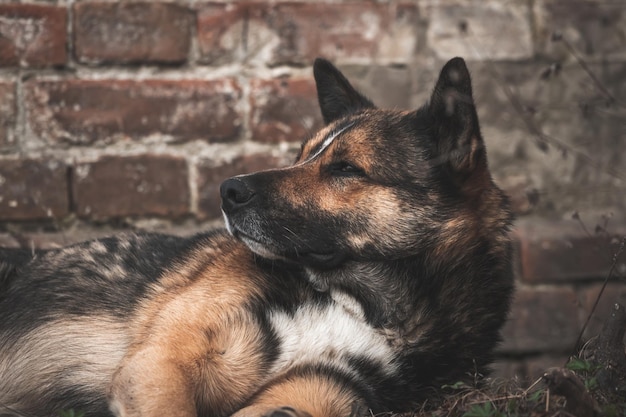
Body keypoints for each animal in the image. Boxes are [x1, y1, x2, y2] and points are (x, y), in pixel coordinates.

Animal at [0, 57, 512, 416]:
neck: (361, 299)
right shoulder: (161, 362)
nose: (227, 191)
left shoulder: (322, 390)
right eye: (301, 156)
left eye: (346, 169)